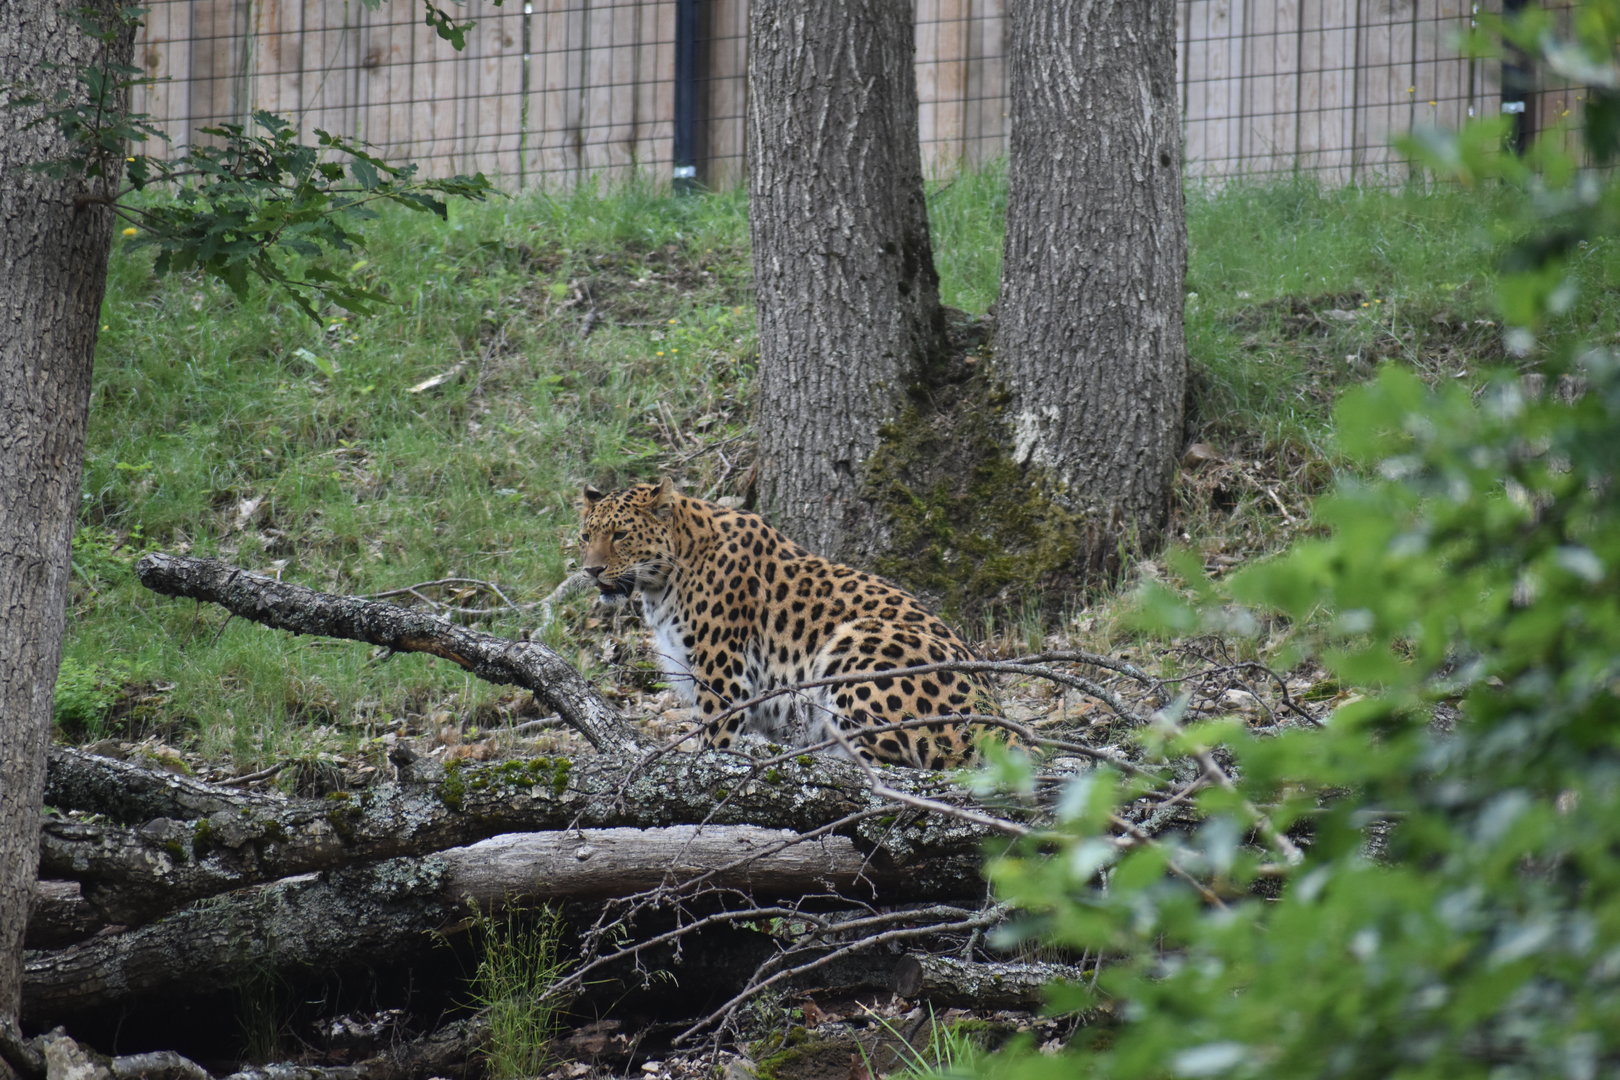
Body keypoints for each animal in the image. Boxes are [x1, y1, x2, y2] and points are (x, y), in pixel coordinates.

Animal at [577, 478, 998, 768]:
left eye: (621, 535)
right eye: (585, 536)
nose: (591, 570)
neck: (665, 579)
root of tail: (995, 721)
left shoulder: (722, 673)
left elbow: (715, 739)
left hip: (858, 643)